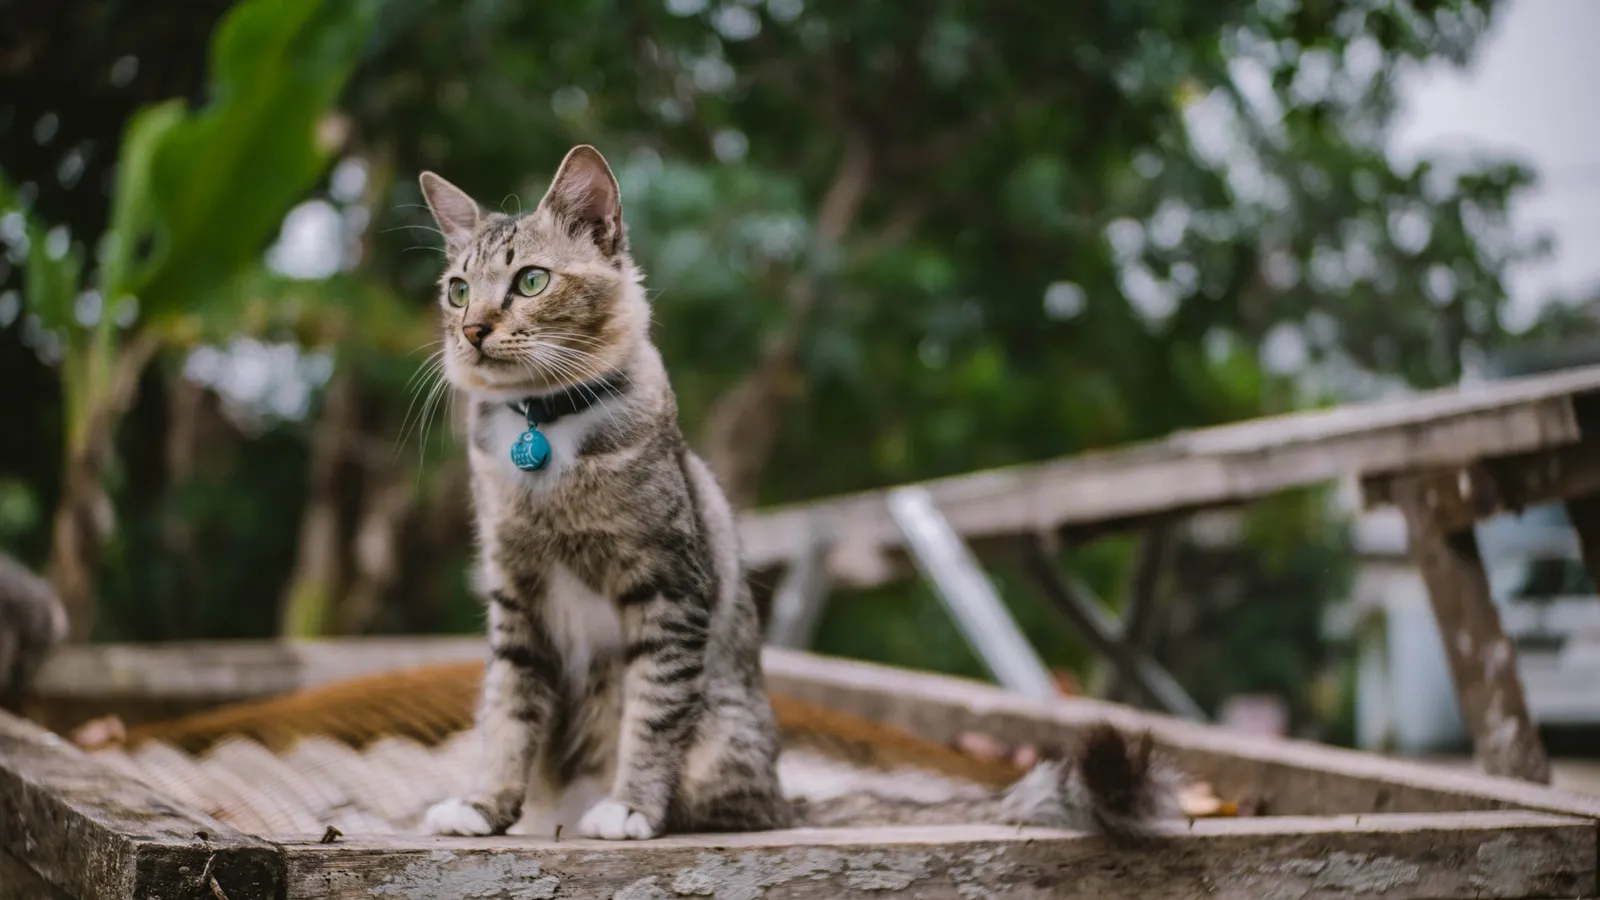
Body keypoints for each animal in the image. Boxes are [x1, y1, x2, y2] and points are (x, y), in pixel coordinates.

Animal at [412, 143, 1177, 839]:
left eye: (531, 281)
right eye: (458, 289)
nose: (473, 330)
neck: (545, 433)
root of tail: (786, 797)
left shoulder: (668, 588)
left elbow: (652, 714)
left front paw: (630, 807)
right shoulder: (516, 600)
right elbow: (511, 716)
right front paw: (484, 805)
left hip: (723, 738)